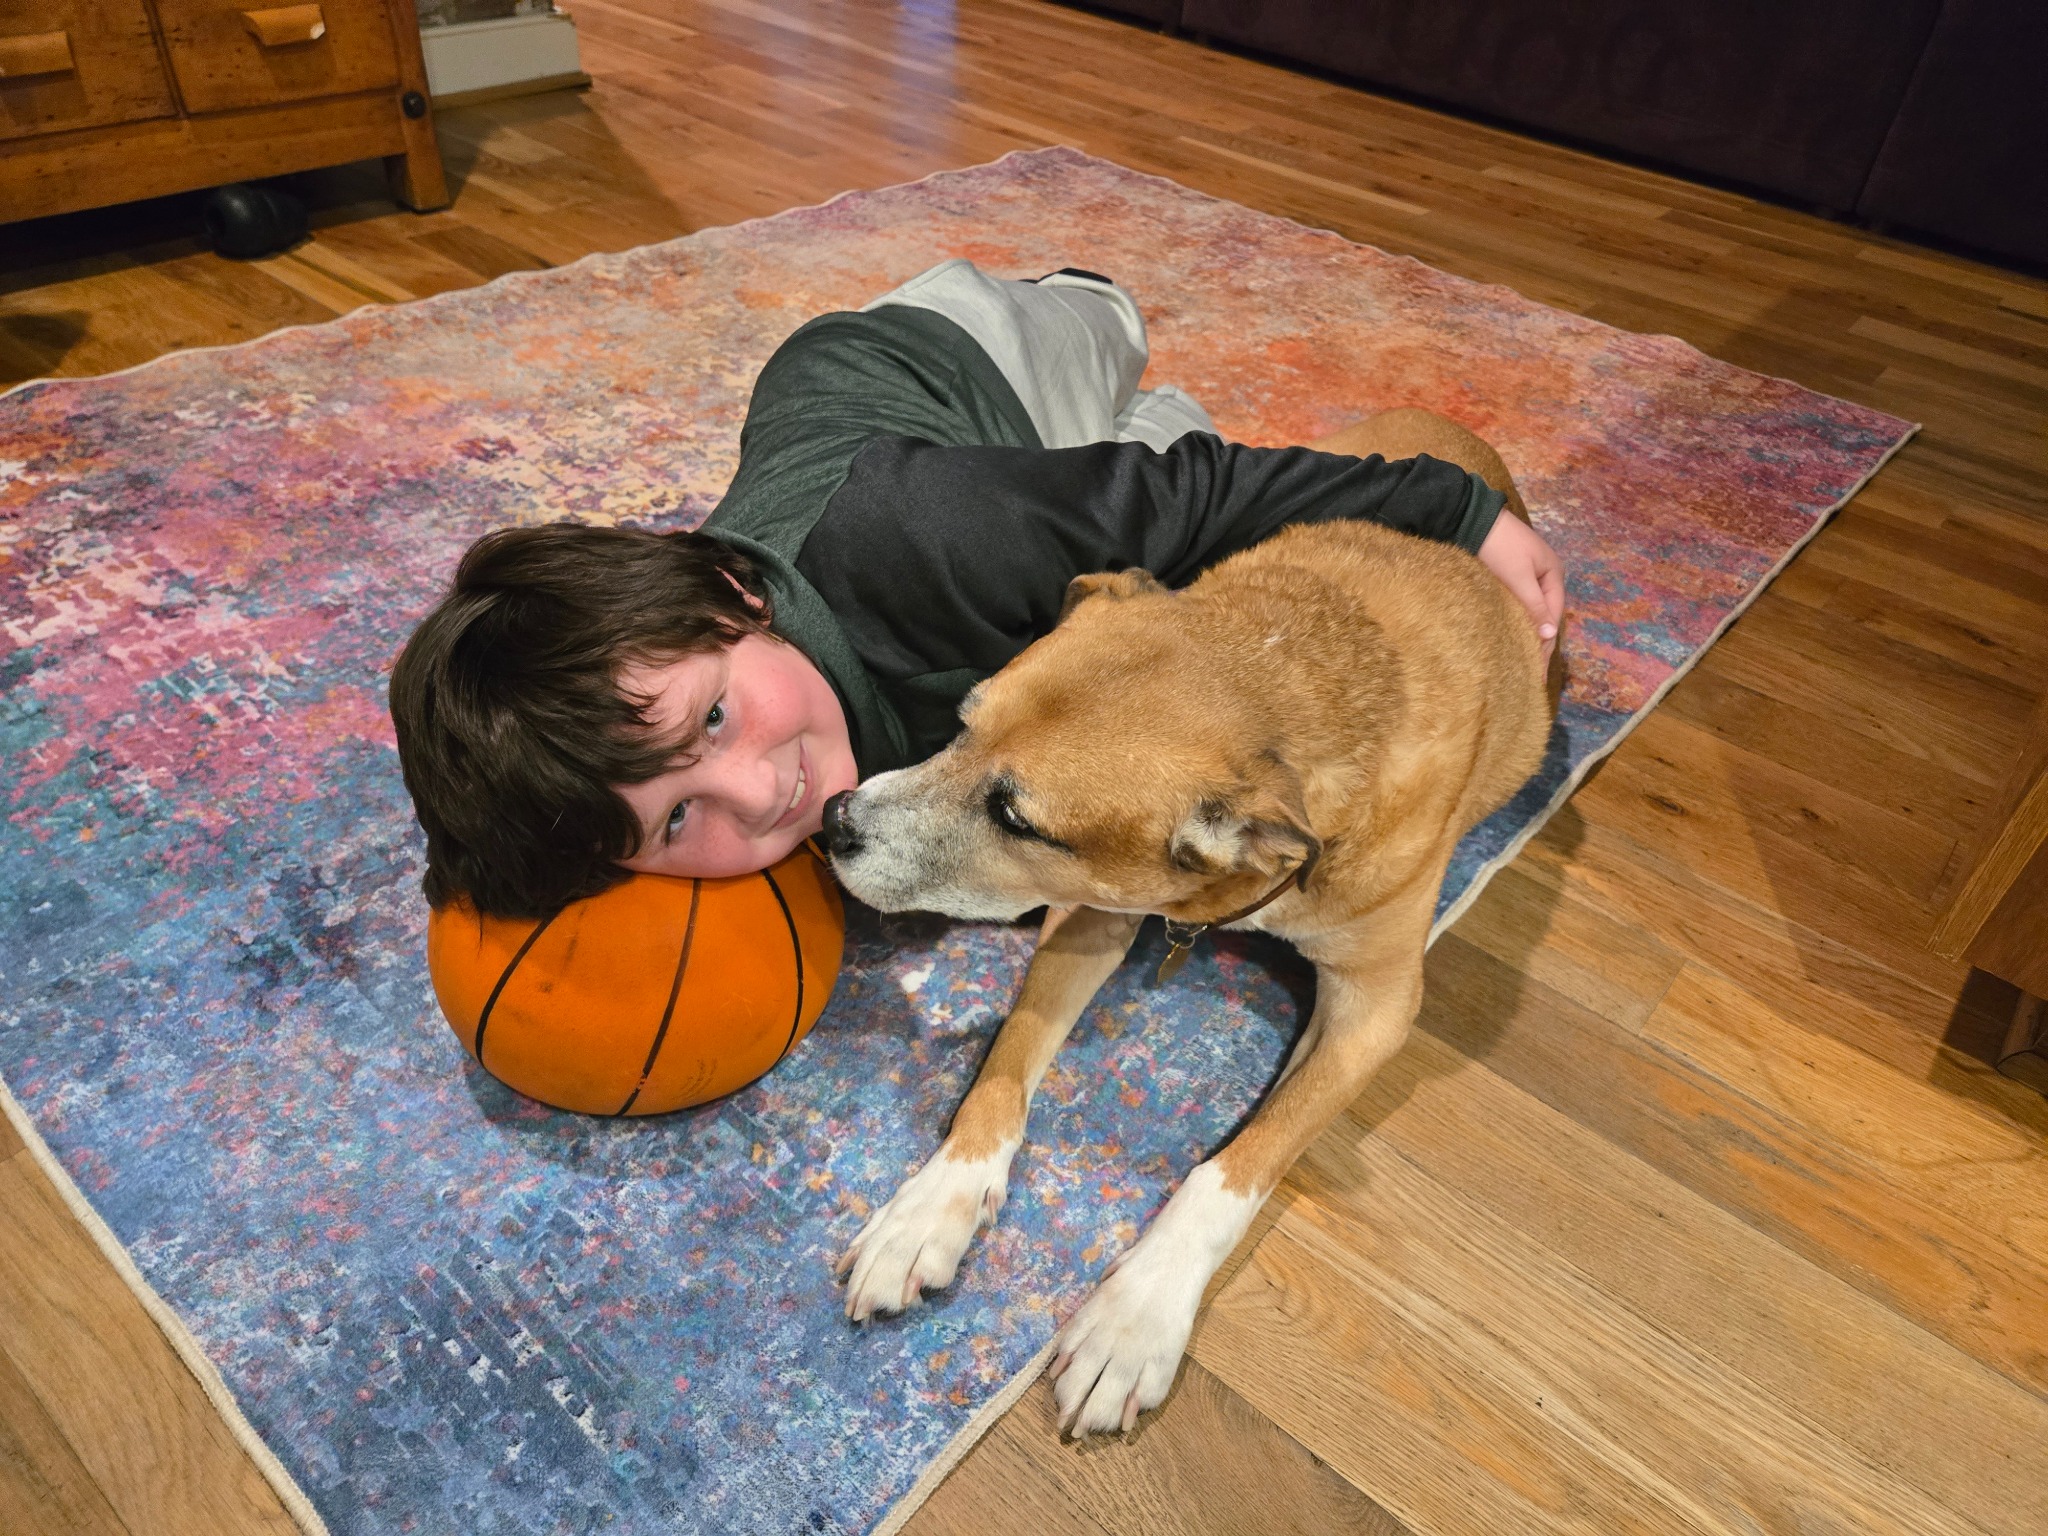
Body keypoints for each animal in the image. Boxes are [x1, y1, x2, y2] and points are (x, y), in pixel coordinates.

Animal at [821, 409, 1554, 1437]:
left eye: (1017, 818)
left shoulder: (1377, 1009)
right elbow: (1009, 1058)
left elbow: (1240, 1165)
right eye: (960, 725)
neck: (1289, 686)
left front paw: (1135, 1321)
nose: (835, 821)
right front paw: (931, 1208)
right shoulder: (1090, 913)